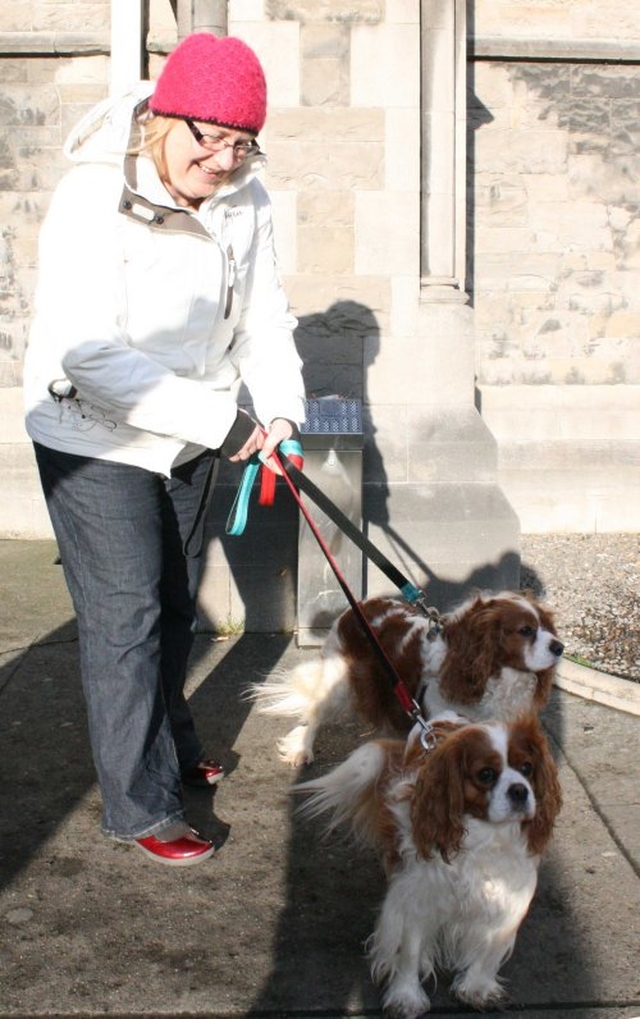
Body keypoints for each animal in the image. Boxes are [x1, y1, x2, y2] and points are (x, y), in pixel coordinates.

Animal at [249, 591, 558, 766]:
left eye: (547, 627)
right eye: (526, 630)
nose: (559, 647)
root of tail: (357, 605)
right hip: (338, 683)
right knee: (314, 716)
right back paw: (303, 750)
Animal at [295, 713, 558, 1014]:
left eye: (527, 767)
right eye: (486, 774)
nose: (520, 791)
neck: (485, 837)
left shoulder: (507, 898)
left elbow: (491, 949)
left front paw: (477, 986)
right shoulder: (418, 898)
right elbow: (409, 951)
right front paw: (406, 996)